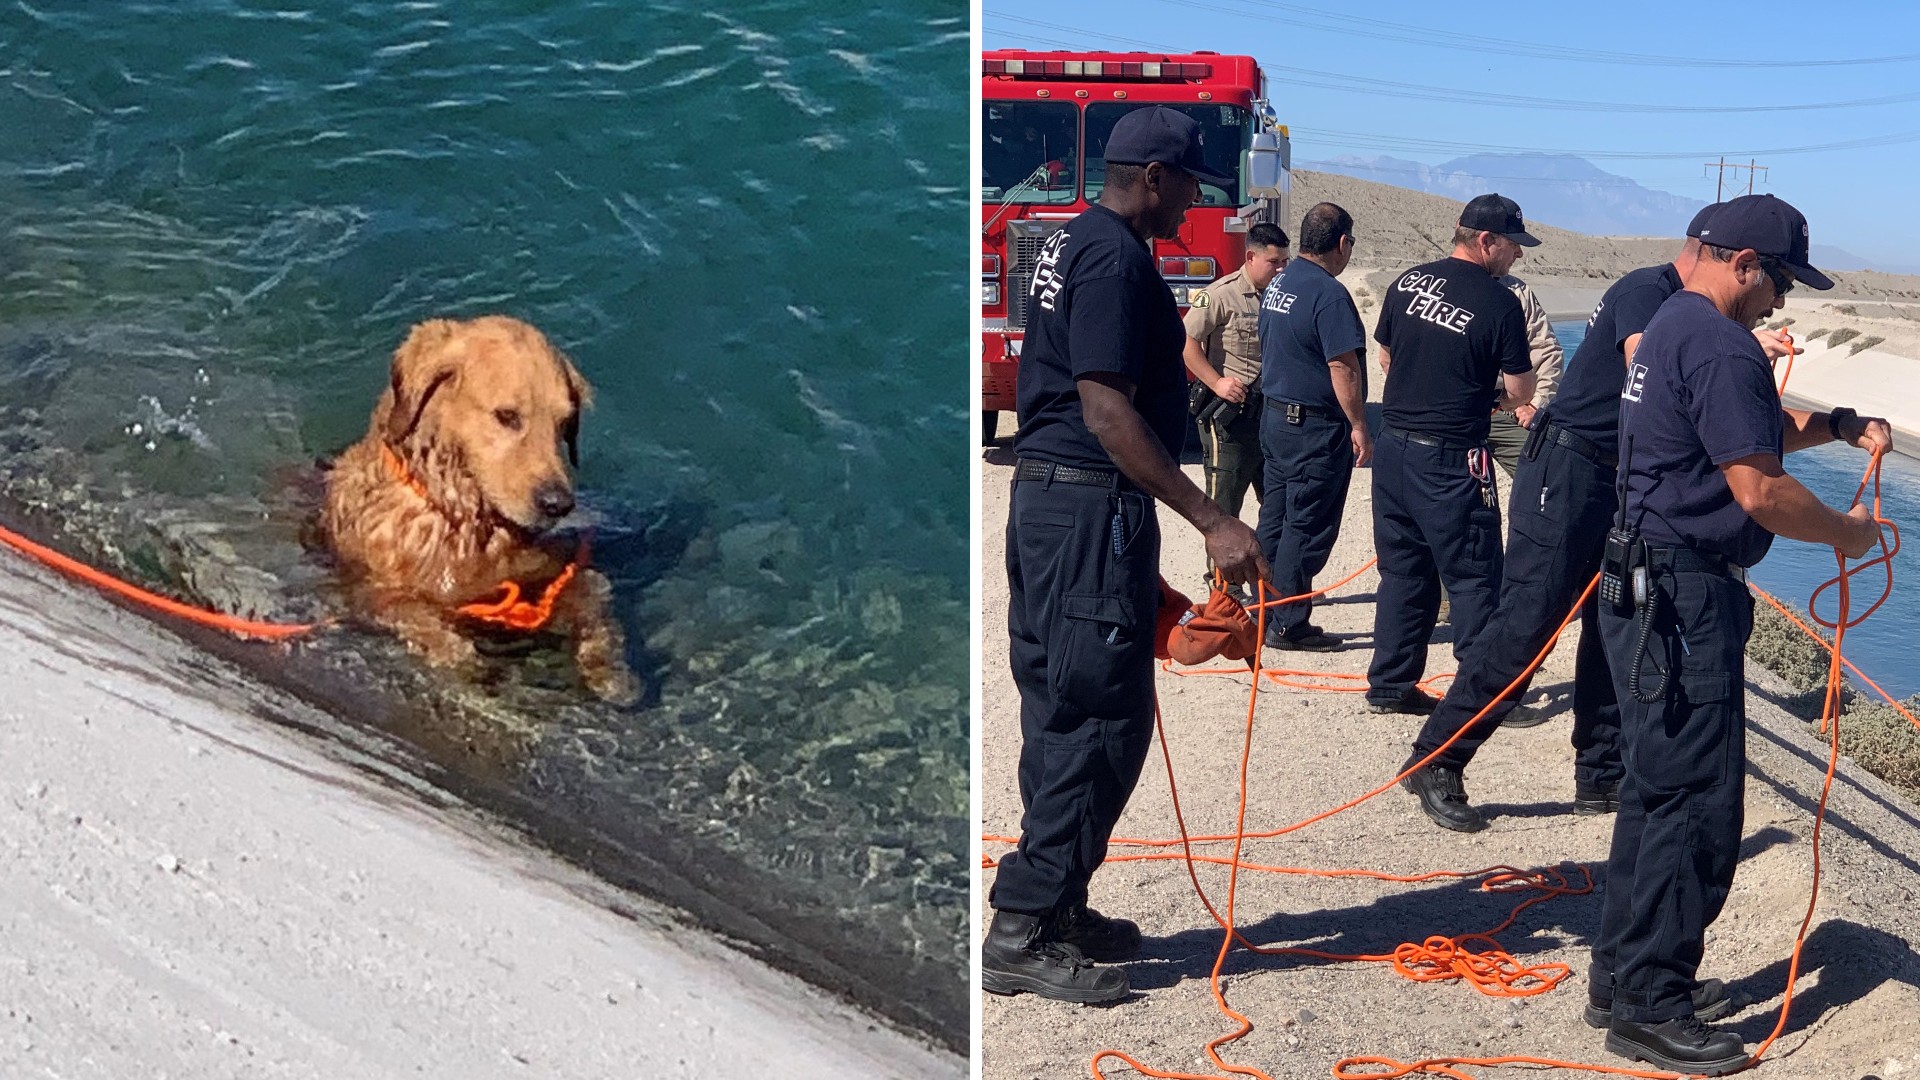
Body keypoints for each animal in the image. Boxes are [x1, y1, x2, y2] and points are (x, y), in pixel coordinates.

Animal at [318, 311, 637, 703]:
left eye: (565, 424)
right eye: (507, 416)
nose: (559, 504)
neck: (466, 524)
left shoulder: (550, 574)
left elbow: (592, 597)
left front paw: (610, 670)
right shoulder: (377, 589)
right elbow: (418, 618)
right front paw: (459, 657)